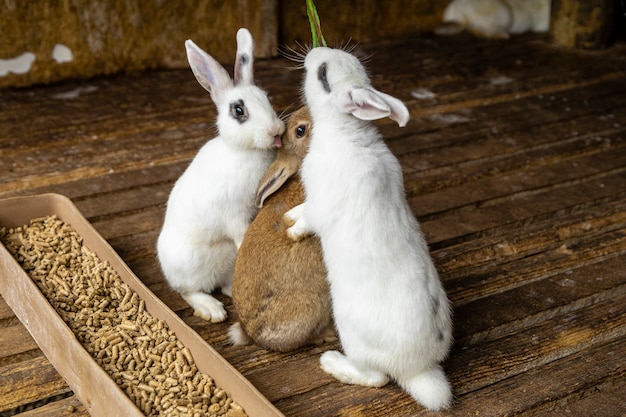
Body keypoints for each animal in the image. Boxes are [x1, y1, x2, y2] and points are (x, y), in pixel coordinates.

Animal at [155, 28, 284, 322]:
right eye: (238, 110)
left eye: (267, 98)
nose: (275, 131)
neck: (243, 151)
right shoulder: (233, 216)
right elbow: (241, 235)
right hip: (189, 267)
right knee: (189, 291)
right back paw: (212, 310)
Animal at [284, 47, 454, 412]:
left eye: (322, 74)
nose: (314, 51)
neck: (345, 132)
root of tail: (419, 368)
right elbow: (301, 210)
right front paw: (289, 214)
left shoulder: (321, 204)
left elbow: (309, 219)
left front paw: (292, 231)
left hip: (353, 337)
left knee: (376, 378)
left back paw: (332, 363)